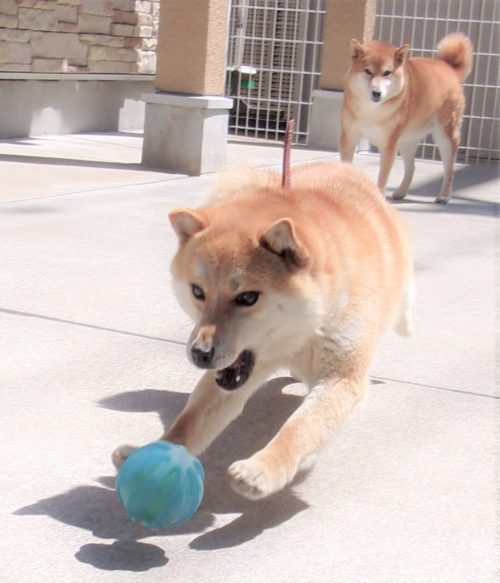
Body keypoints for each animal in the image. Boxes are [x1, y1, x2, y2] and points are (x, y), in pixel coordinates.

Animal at [113, 162, 414, 500]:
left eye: (247, 297)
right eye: (197, 292)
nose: (200, 354)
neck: (300, 335)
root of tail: (343, 166)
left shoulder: (342, 377)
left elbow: (300, 428)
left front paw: (264, 469)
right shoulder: (231, 377)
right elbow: (191, 420)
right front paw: (157, 449)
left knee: (405, 301)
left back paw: (406, 322)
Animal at [340, 33, 473, 203]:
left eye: (387, 73)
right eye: (367, 71)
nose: (376, 93)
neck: (371, 111)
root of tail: (449, 67)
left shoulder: (388, 145)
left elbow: (382, 178)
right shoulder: (349, 137)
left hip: (445, 136)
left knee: (449, 169)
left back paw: (444, 195)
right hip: (406, 141)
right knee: (411, 167)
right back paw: (401, 192)